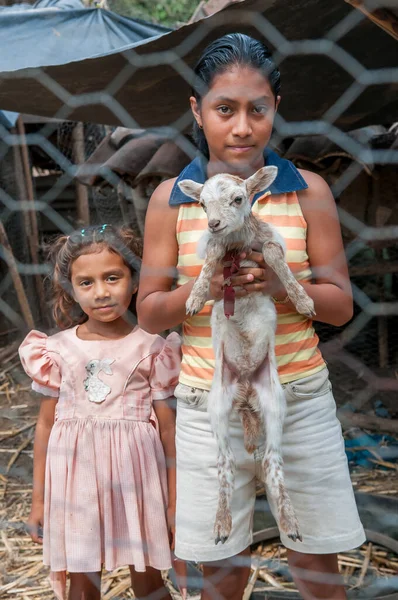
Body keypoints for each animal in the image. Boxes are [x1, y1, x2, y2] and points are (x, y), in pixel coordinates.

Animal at [180, 166, 314, 548]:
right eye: (202, 203)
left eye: (239, 199)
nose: (213, 223)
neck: (238, 244)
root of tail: (244, 392)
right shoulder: (215, 248)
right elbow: (211, 256)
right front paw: (195, 298)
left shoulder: (268, 240)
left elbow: (273, 255)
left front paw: (302, 300)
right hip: (216, 405)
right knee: (225, 463)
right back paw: (222, 525)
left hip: (275, 401)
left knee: (271, 461)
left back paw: (290, 522)